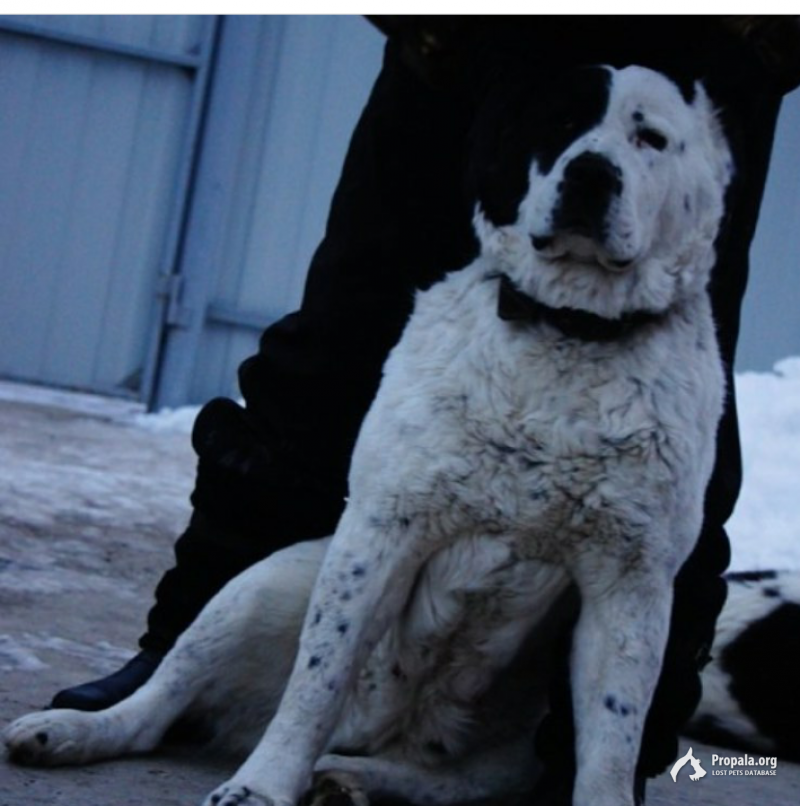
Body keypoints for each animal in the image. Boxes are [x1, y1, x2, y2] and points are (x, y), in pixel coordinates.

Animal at [3, 66, 736, 806]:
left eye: (650, 138)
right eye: (559, 124)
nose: (590, 174)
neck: (566, 329)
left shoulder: (630, 583)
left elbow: (612, 741)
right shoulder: (382, 532)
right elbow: (318, 680)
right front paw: (261, 787)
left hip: (507, 744)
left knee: (445, 779)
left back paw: (351, 778)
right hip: (267, 582)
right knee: (165, 700)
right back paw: (69, 730)